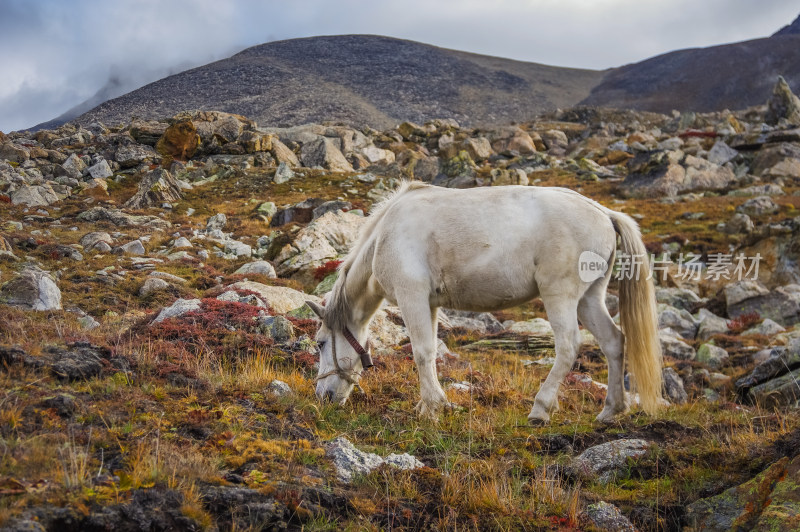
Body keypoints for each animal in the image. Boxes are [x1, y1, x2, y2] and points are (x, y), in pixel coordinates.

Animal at [306, 183, 664, 424]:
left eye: (320, 343)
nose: (322, 397)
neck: (385, 235)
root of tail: (604, 213)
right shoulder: (430, 304)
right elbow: (430, 352)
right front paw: (431, 404)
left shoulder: (412, 297)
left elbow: (421, 352)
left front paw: (433, 407)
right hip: (589, 299)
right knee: (614, 341)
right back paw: (611, 410)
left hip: (560, 296)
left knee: (568, 347)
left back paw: (540, 409)